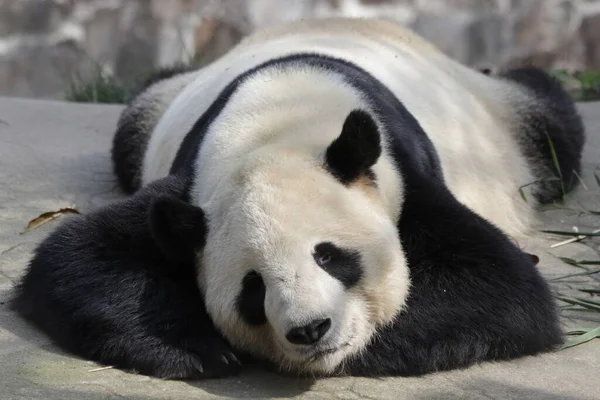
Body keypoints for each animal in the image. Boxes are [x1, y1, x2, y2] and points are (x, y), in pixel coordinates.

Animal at [12, 18, 584, 382]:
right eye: (252, 287)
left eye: (330, 256)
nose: (311, 330)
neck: (281, 123)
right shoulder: (191, 188)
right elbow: (80, 258)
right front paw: (199, 348)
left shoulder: (405, 178)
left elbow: (498, 287)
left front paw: (370, 345)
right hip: (153, 107)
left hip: (505, 119)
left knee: (553, 124)